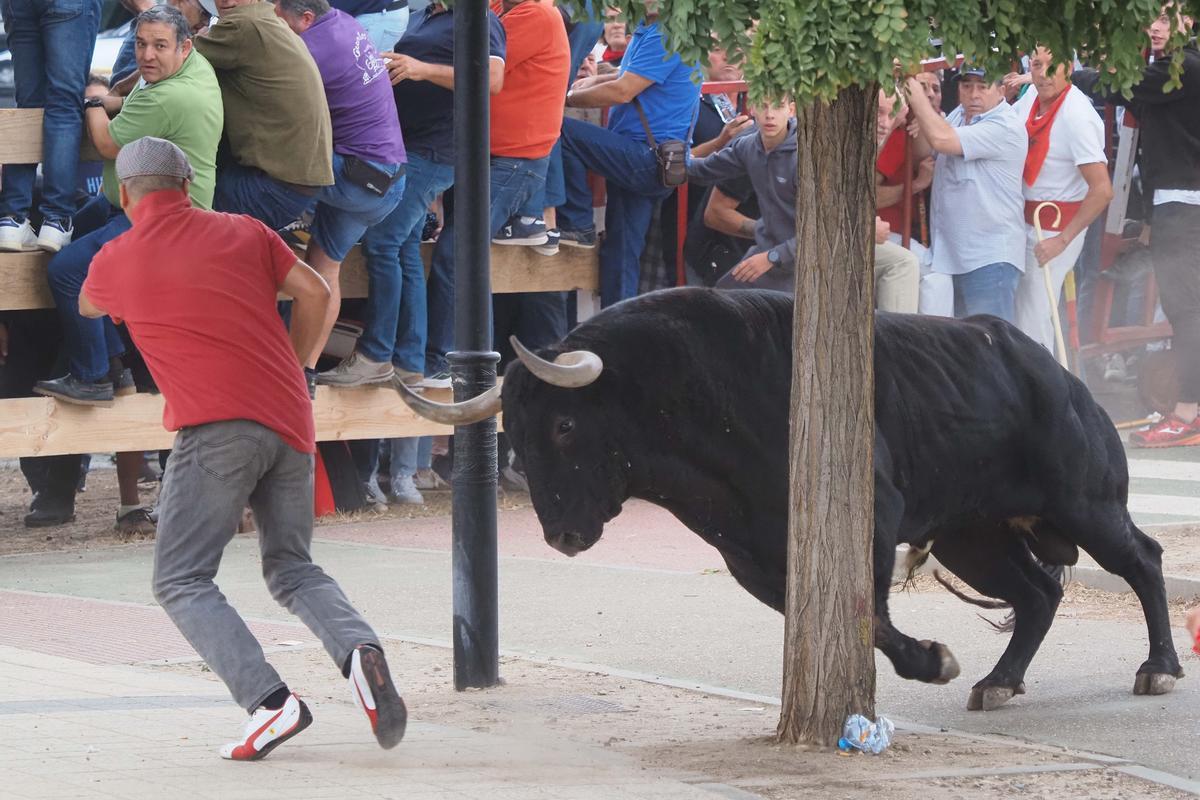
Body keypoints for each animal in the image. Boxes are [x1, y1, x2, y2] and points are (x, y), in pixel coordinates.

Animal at [410, 289, 1180, 714]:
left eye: (565, 425)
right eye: (513, 435)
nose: (562, 535)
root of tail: (1059, 374)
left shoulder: (873, 515)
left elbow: (869, 613)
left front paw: (933, 659)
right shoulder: (750, 555)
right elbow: (830, 613)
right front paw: (935, 661)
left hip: (1085, 502)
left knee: (1143, 559)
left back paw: (1159, 669)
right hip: (977, 534)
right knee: (1039, 594)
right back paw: (1000, 681)